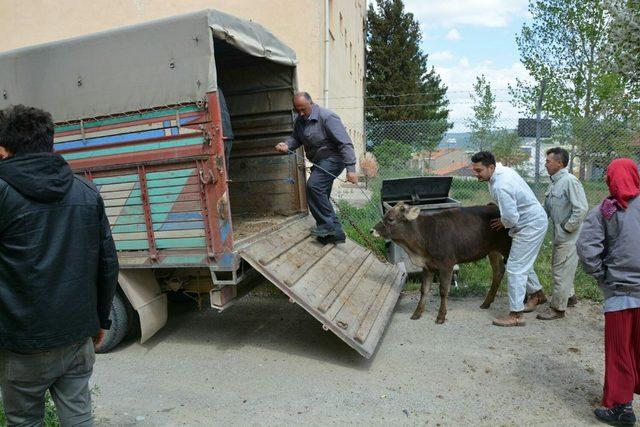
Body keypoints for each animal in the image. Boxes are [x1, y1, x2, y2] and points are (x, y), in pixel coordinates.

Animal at [370, 202, 510, 322]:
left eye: (391, 219)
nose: (372, 230)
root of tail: (494, 206)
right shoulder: (427, 266)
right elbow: (424, 289)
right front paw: (417, 313)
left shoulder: (447, 265)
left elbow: (443, 291)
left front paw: (441, 316)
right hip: (493, 251)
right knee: (498, 271)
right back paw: (486, 303)